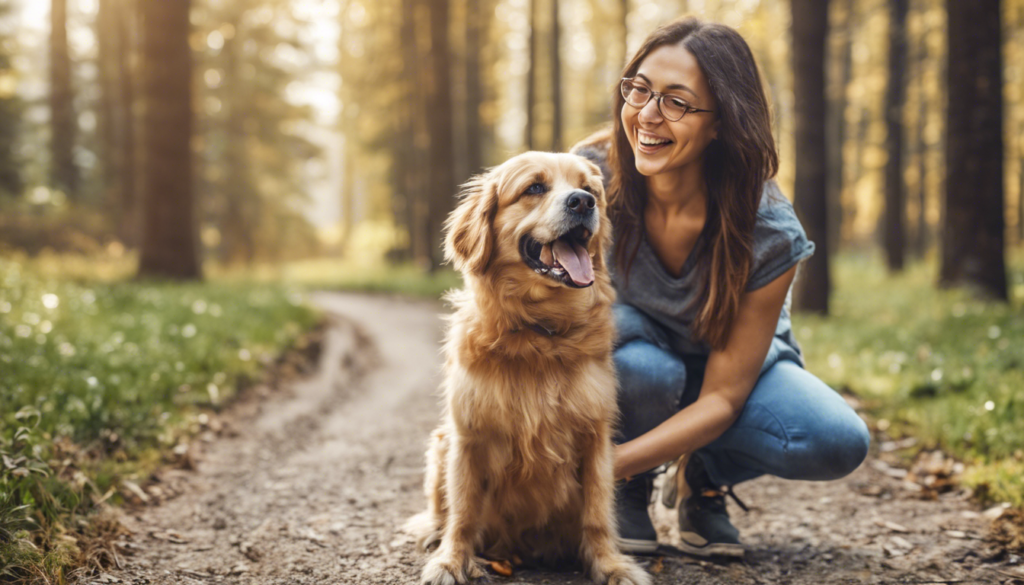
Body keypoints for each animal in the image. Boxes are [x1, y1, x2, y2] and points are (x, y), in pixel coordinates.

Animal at [405, 152, 647, 585]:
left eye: (588, 187)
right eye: (534, 187)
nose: (583, 203)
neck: (539, 332)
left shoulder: (595, 435)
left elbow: (597, 513)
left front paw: (611, 564)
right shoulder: (468, 435)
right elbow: (463, 512)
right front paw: (451, 561)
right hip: (441, 441)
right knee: (441, 511)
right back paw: (437, 535)